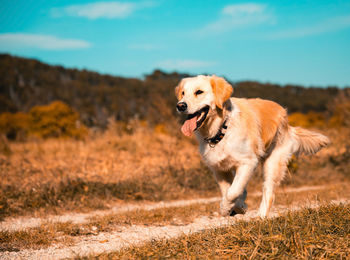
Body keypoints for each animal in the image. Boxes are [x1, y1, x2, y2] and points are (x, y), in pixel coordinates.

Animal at [176, 75, 330, 217]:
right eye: (183, 93)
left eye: (199, 92)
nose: (180, 105)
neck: (222, 129)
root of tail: (287, 121)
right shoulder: (218, 168)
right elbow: (229, 190)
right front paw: (238, 206)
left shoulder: (248, 162)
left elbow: (232, 192)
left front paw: (226, 207)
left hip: (273, 163)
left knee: (268, 191)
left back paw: (261, 216)